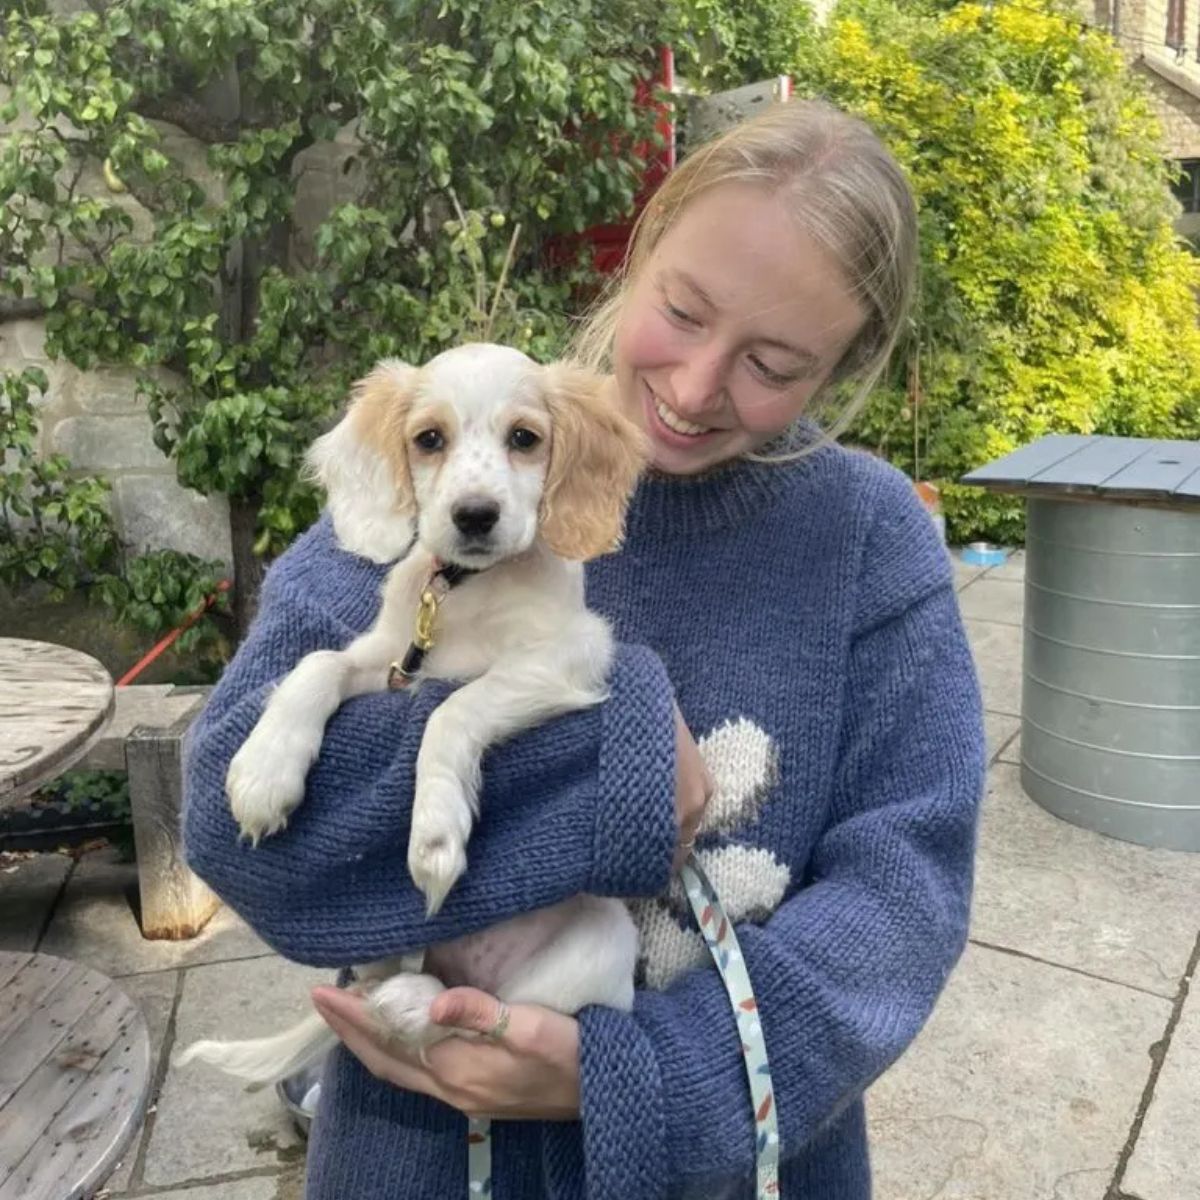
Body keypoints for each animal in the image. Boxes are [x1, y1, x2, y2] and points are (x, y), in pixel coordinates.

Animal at [172, 343, 648, 1084]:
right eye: (429, 439)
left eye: (525, 438)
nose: (475, 515)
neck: (463, 591)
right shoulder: (391, 660)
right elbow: (318, 664)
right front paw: (264, 772)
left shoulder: (569, 657)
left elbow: (452, 708)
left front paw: (434, 836)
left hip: (598, 942)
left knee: (481, 1015)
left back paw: (415, 1003)